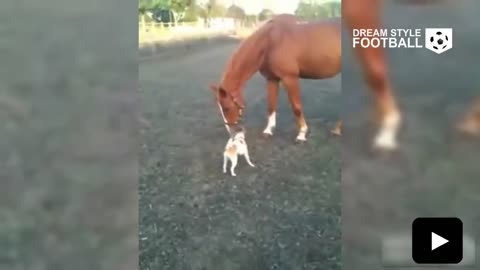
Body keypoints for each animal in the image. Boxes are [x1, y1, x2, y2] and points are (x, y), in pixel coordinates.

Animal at [210, 15, 342, 141]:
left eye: (226, 108)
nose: (231, 132)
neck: (271, 41)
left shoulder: (290, 78)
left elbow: (297, 107)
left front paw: (302, 134)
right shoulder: (271, 79)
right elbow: (271, 106)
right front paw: (268, 130)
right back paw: (337, 130)